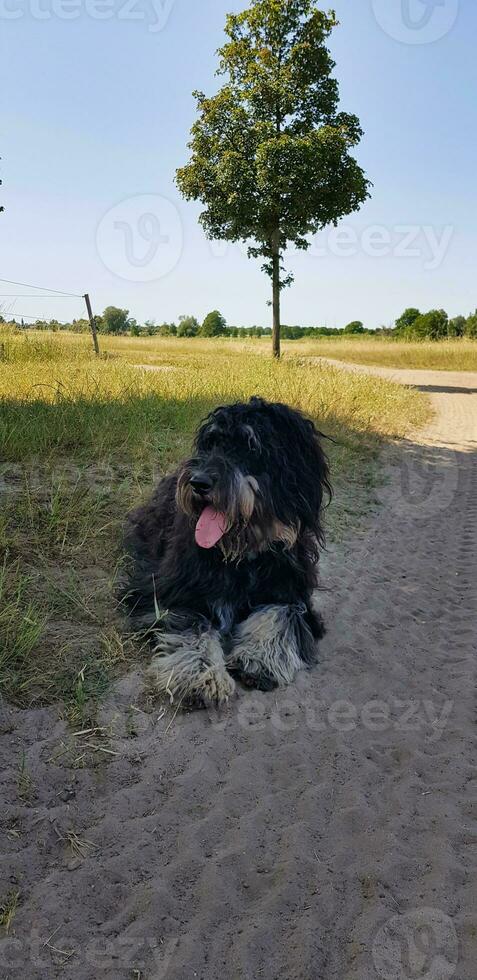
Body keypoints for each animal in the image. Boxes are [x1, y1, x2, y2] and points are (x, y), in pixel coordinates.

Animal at [122, 394, 330, 708]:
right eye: (211, 442)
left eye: (251, 446)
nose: (198, 483)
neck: (243, 556)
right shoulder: (175, 592)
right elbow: (195, 626)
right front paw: (202, 675)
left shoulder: (292, 592)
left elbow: (280, 615)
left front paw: (259, 660)